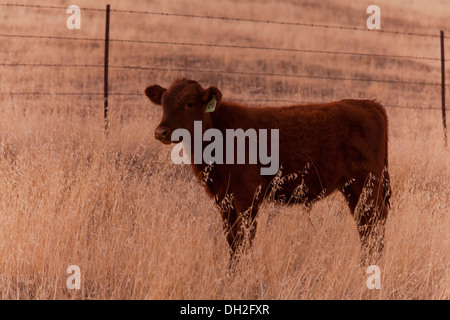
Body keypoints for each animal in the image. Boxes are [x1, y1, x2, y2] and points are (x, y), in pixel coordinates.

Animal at [145, 79, 390, 264]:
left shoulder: (247, 197)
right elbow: (232, 240)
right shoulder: (223, 199)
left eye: (189, 103)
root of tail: (370, 105)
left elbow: (244, 239)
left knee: (373, 225)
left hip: (367, 184)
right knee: (366, 226)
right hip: (354, 189)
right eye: (163, 102)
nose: (160, 132)